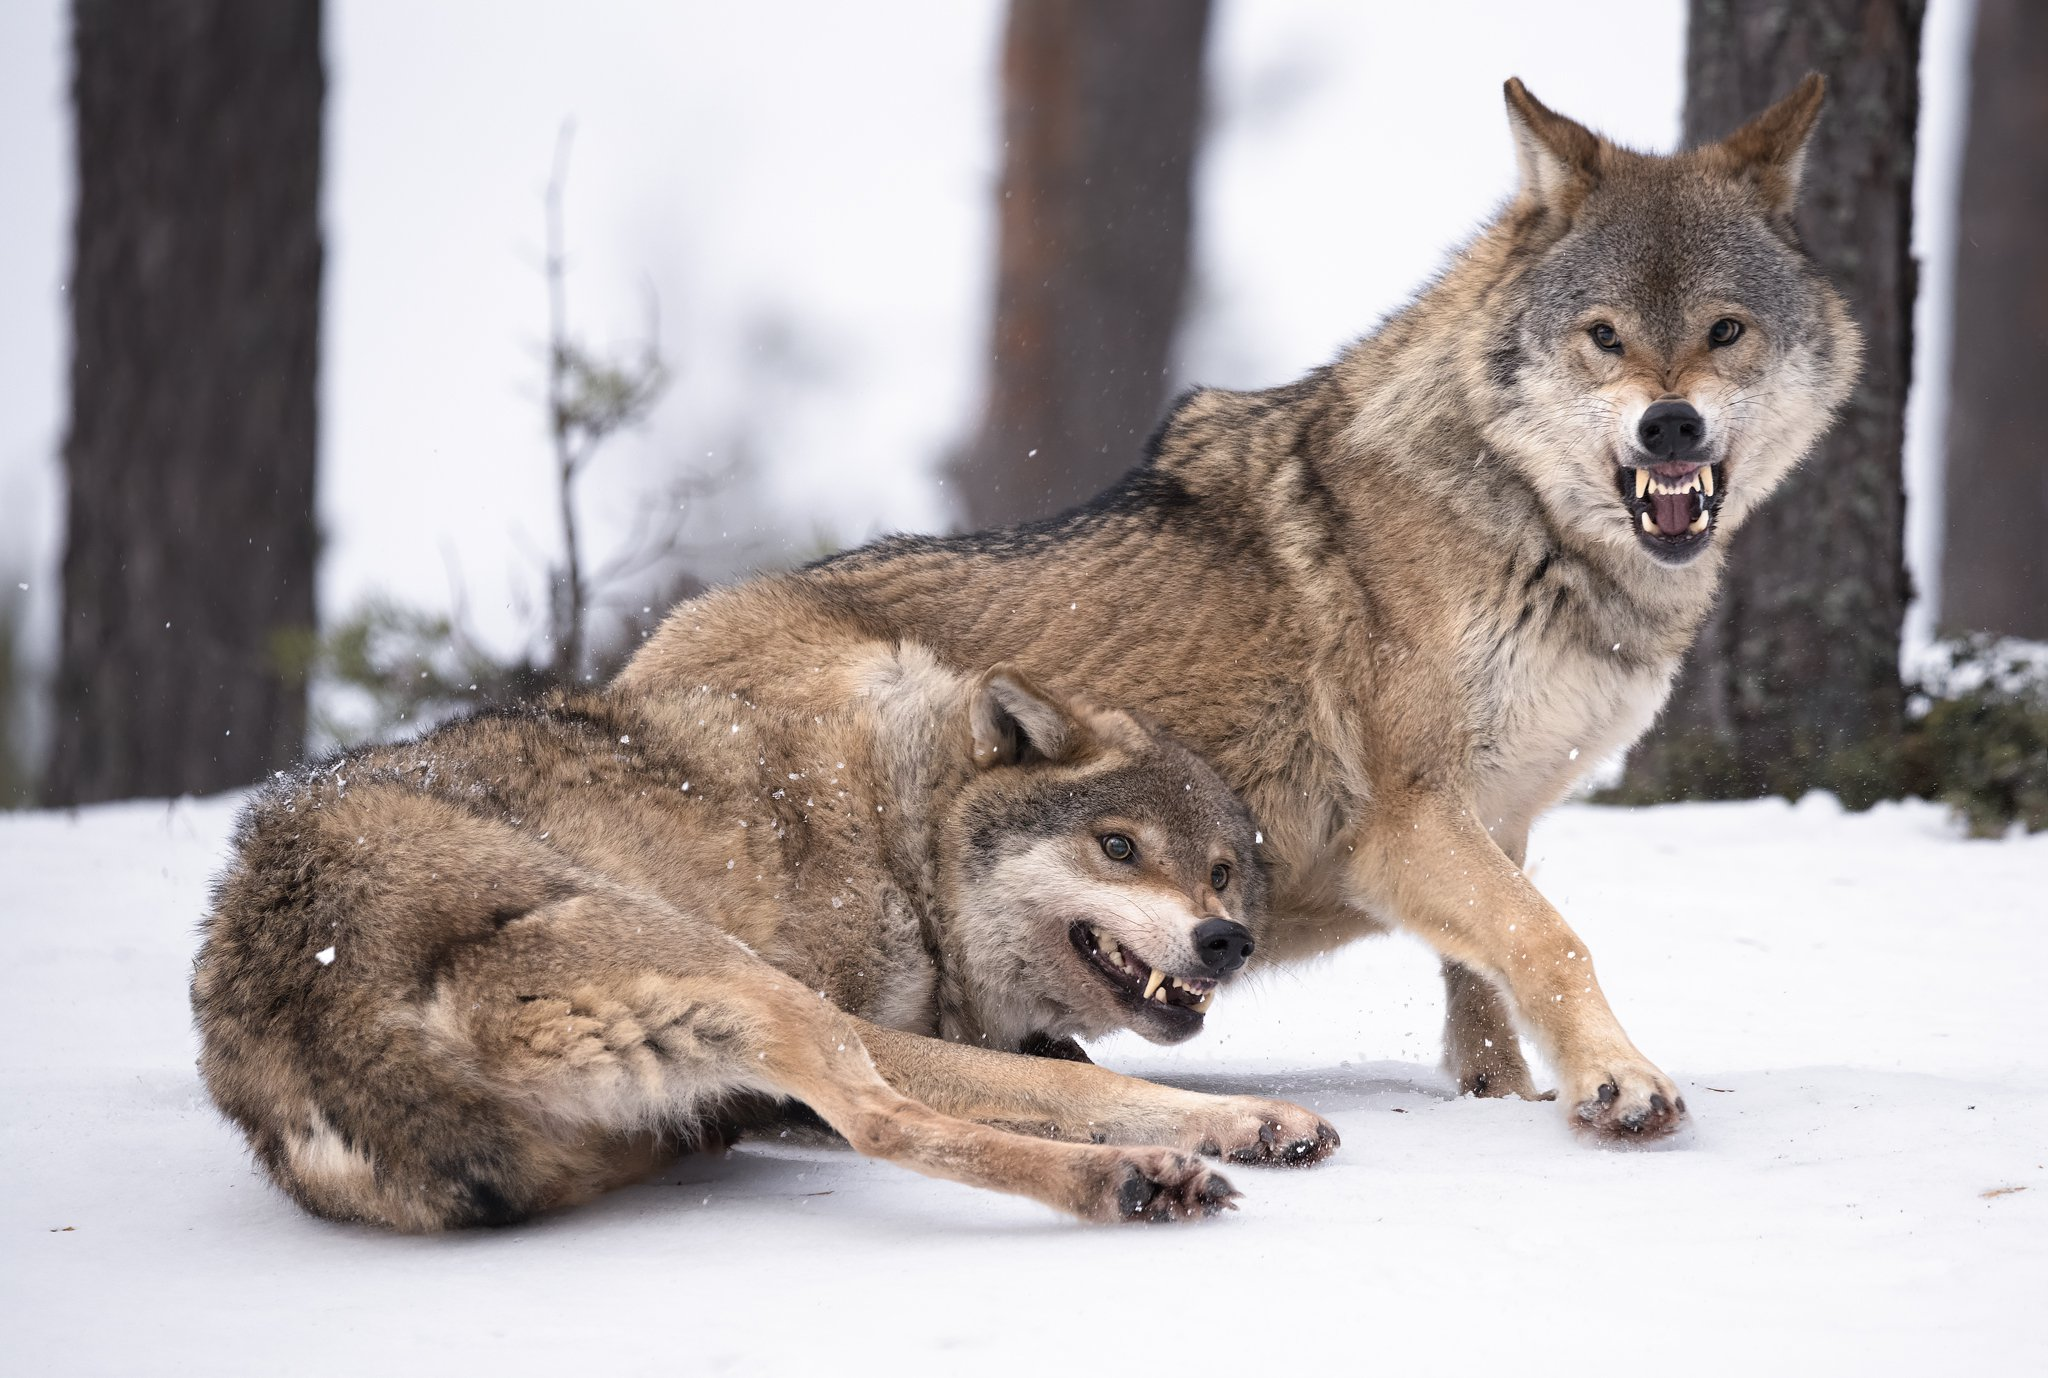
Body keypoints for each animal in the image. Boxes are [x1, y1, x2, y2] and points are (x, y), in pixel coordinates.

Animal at [195, 651, 1343, 1228]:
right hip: (765, 993)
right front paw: (1248, 1119)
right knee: (889, 1127)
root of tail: (330, 1019)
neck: (899, 835)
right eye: (1118, 846)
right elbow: (1069, 1082)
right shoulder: (864, 1021)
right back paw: (1134, 1183)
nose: (1225, 940)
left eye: (1221, 871)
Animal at [614, 75, 1867, 1138]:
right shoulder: (1408, 821)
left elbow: (1485, 981)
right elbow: (1546, 940)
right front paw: (1618, 1081)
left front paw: (1503, 1098)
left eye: (1722, 331)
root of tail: (626, 672)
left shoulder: (1500, 813)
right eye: (1602, 336)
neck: (1524, 527)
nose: (1669, 425)